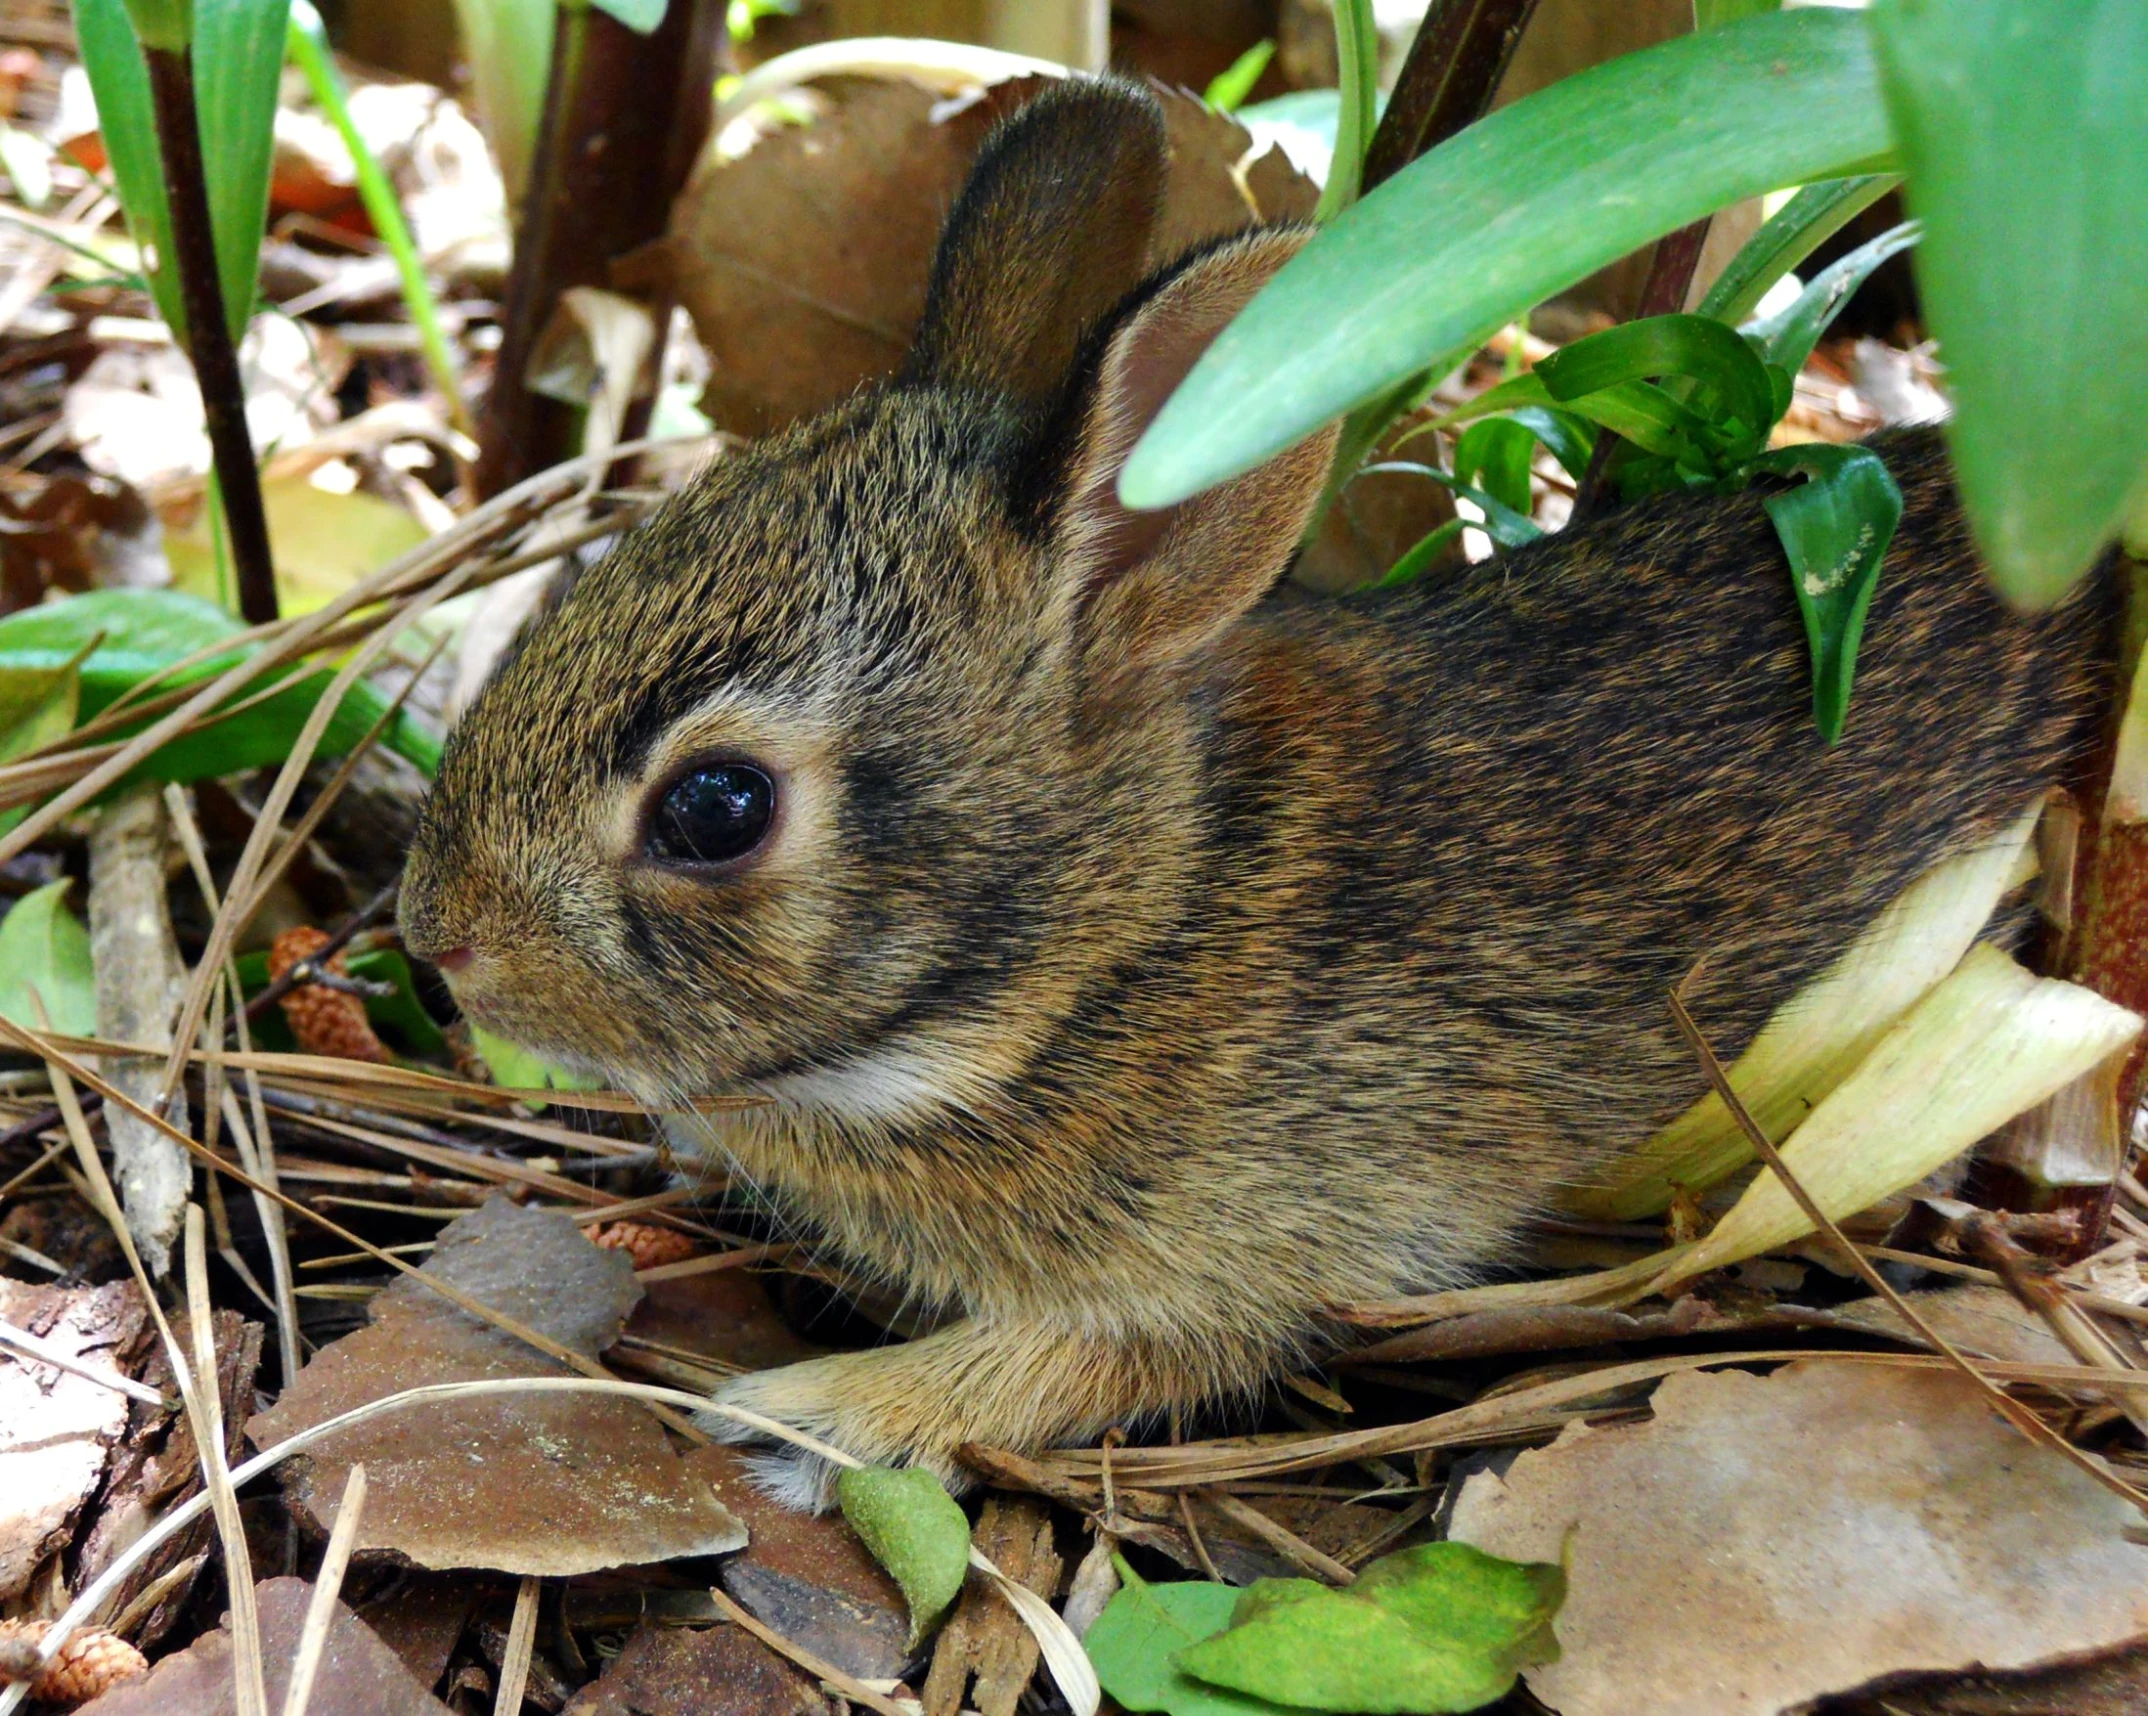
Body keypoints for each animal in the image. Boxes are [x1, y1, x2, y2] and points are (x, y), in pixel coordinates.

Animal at [399, 80, 2113, 1511]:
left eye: (717, 809)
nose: (438, 938)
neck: (1121, 940)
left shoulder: (1249, 1257)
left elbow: (1076, 1361)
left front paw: (805, 1416)